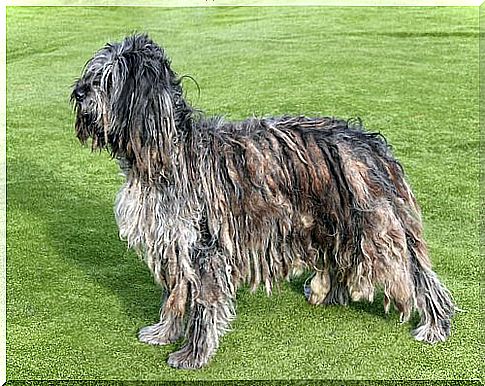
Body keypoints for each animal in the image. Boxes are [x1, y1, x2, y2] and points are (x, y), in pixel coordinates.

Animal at [72, 34, 454, 370]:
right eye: (92, 72)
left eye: (107, 78)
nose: (77, 91)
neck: (166, 154)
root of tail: (371, 144)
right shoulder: (174, 246)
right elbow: (176, 297)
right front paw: (164, 333)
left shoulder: (203, 248)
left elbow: (204, 305)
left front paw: (192, 356)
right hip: (331, 222)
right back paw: (326, 293)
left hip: (375, 231)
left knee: (417, 275)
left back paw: (435, 325)